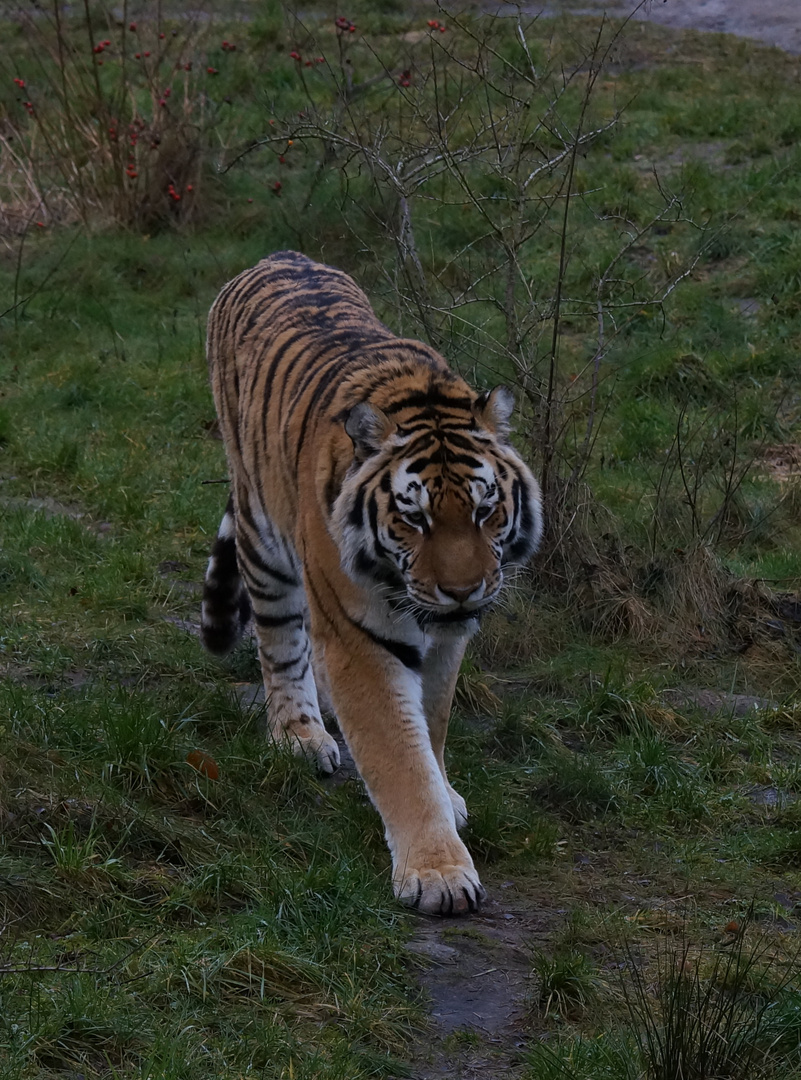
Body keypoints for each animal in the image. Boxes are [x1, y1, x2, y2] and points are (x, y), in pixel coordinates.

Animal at [199, 250, 546, 911]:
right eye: (415, 518)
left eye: (485, 510)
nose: (463, 591)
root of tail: (277, 255)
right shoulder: (360, 639)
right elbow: (398, 754)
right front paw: (438, 874)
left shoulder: (446, 641)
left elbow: (431, 726)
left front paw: (447, 796)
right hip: (262, 535)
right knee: (281, 642)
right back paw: (300, 735)